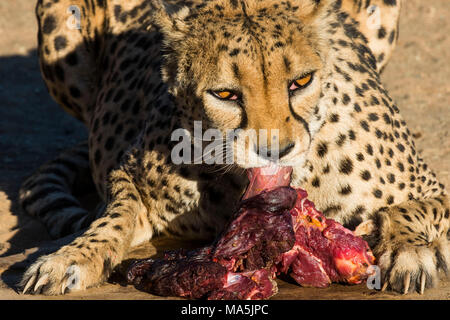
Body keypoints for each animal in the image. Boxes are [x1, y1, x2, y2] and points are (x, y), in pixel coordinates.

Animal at [17, 0, 446, 296]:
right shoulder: (130, 178)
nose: (276, 150)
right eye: (225, 94)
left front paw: (407, 250)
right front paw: (70, 257)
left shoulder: (430, 186)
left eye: (301, 81)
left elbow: (408, 210)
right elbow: (112, 218)